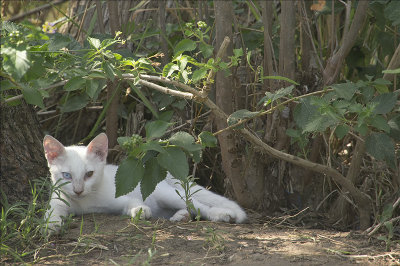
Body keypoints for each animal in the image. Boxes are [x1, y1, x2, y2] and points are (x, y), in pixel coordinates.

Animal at [42, 132, 245, 232]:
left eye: (89, 174)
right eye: (66, 175)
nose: (78, 190)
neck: (86, 202)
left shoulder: (121, 195)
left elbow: (133, 201)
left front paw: (140, 210)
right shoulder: (58, 200)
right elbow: (52, 212)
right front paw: (51, 224)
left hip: (166, 194)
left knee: (197, 204)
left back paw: (221, 214)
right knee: (187, 208)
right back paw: (181, 216)